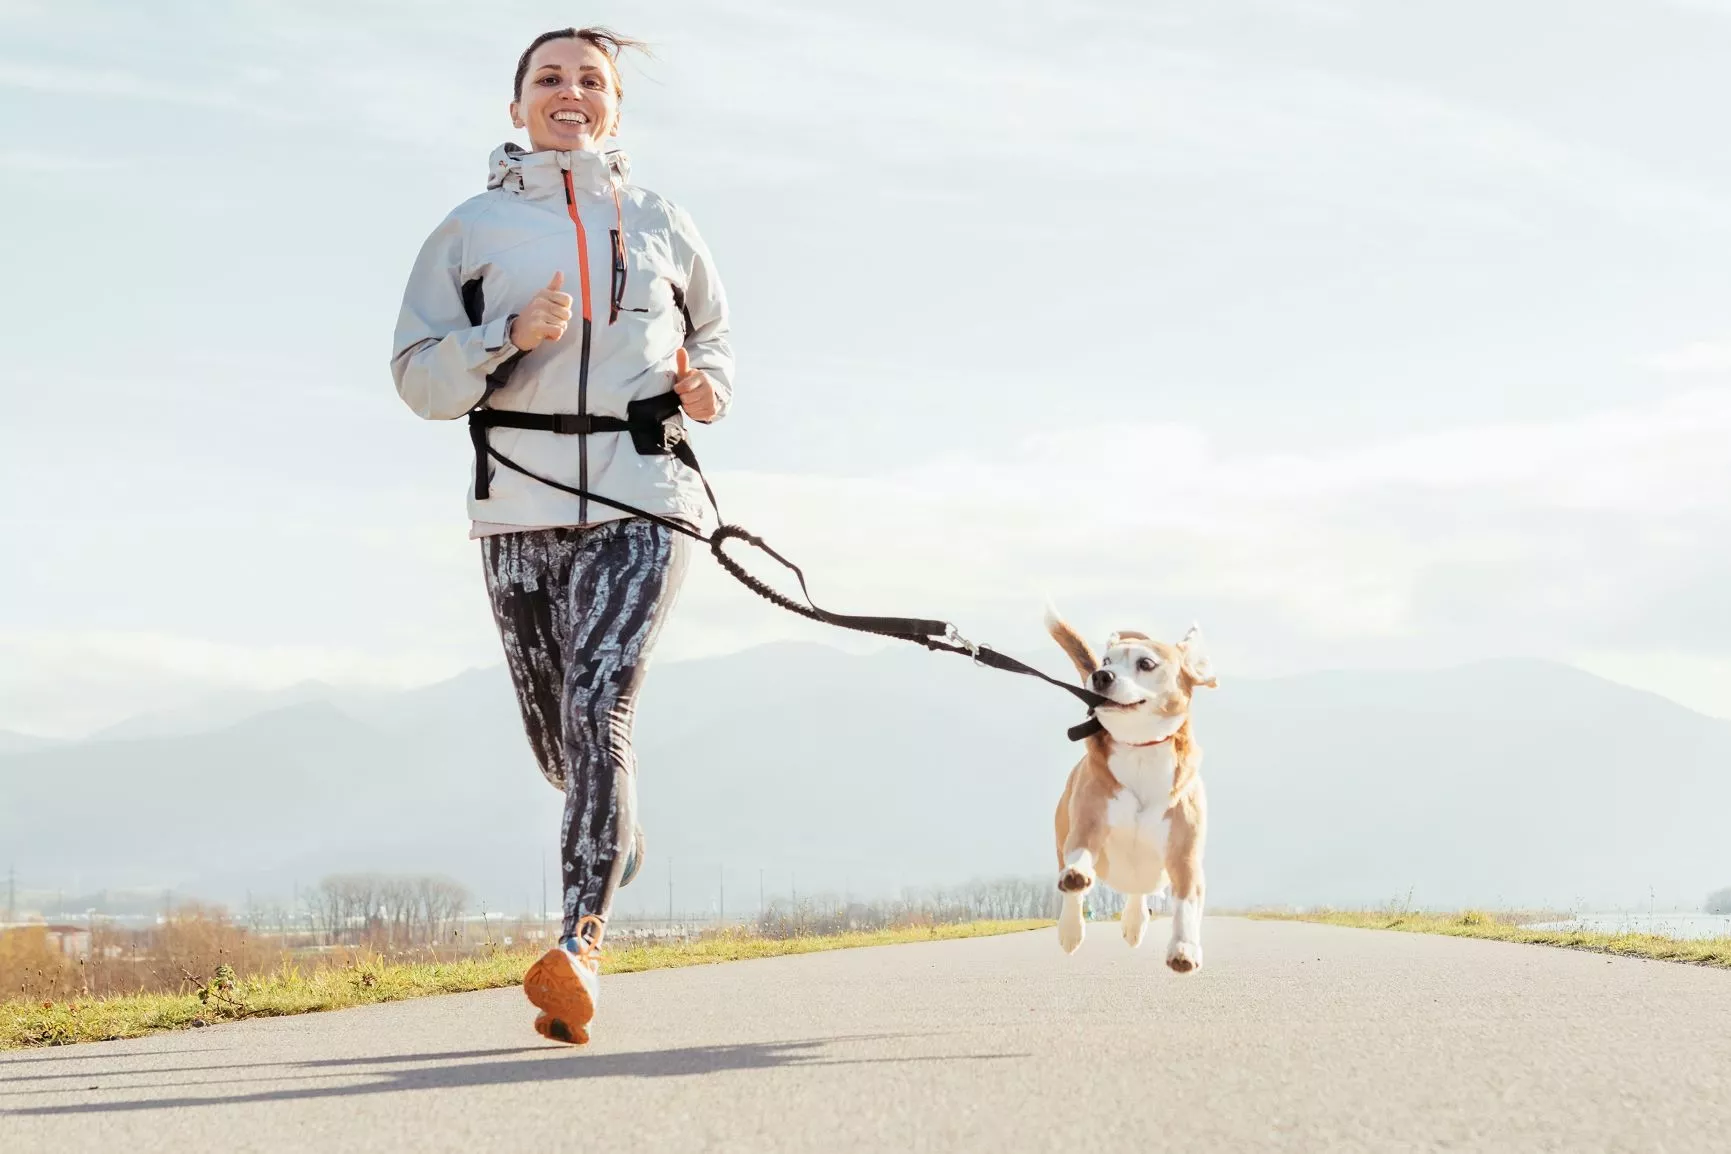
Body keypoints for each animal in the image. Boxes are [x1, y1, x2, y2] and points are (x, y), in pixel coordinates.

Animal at [1038, 612, 1218, 975]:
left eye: (1145, 664)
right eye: (1107, 661)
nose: (1100, 675)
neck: (1140, 750)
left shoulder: (1185, 856)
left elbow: (1185, 905)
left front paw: (1184, 949)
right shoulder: (1088, 825)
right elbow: (1080, 858)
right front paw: (1077, 879)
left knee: (1139, 892)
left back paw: (1135, 922)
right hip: (1062, 837)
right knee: (1072, 892)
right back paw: (1070, 929)